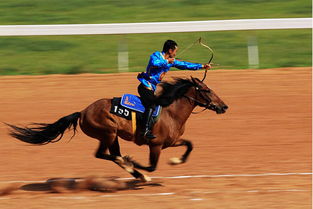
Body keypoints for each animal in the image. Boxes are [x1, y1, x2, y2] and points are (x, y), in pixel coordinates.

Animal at [6, 76, 227, 182]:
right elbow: (151, 166)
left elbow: (190, 144)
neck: (170, 112)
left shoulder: (170, 142)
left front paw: (176, 160)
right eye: (207, 90)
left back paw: (134, 171)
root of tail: (82, 112)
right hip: (108, 133)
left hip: (113, 137)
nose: (224, 106)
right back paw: (132, 166)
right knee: (104, 155)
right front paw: (137, 162)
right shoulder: (155, 145)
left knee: (112, 155)